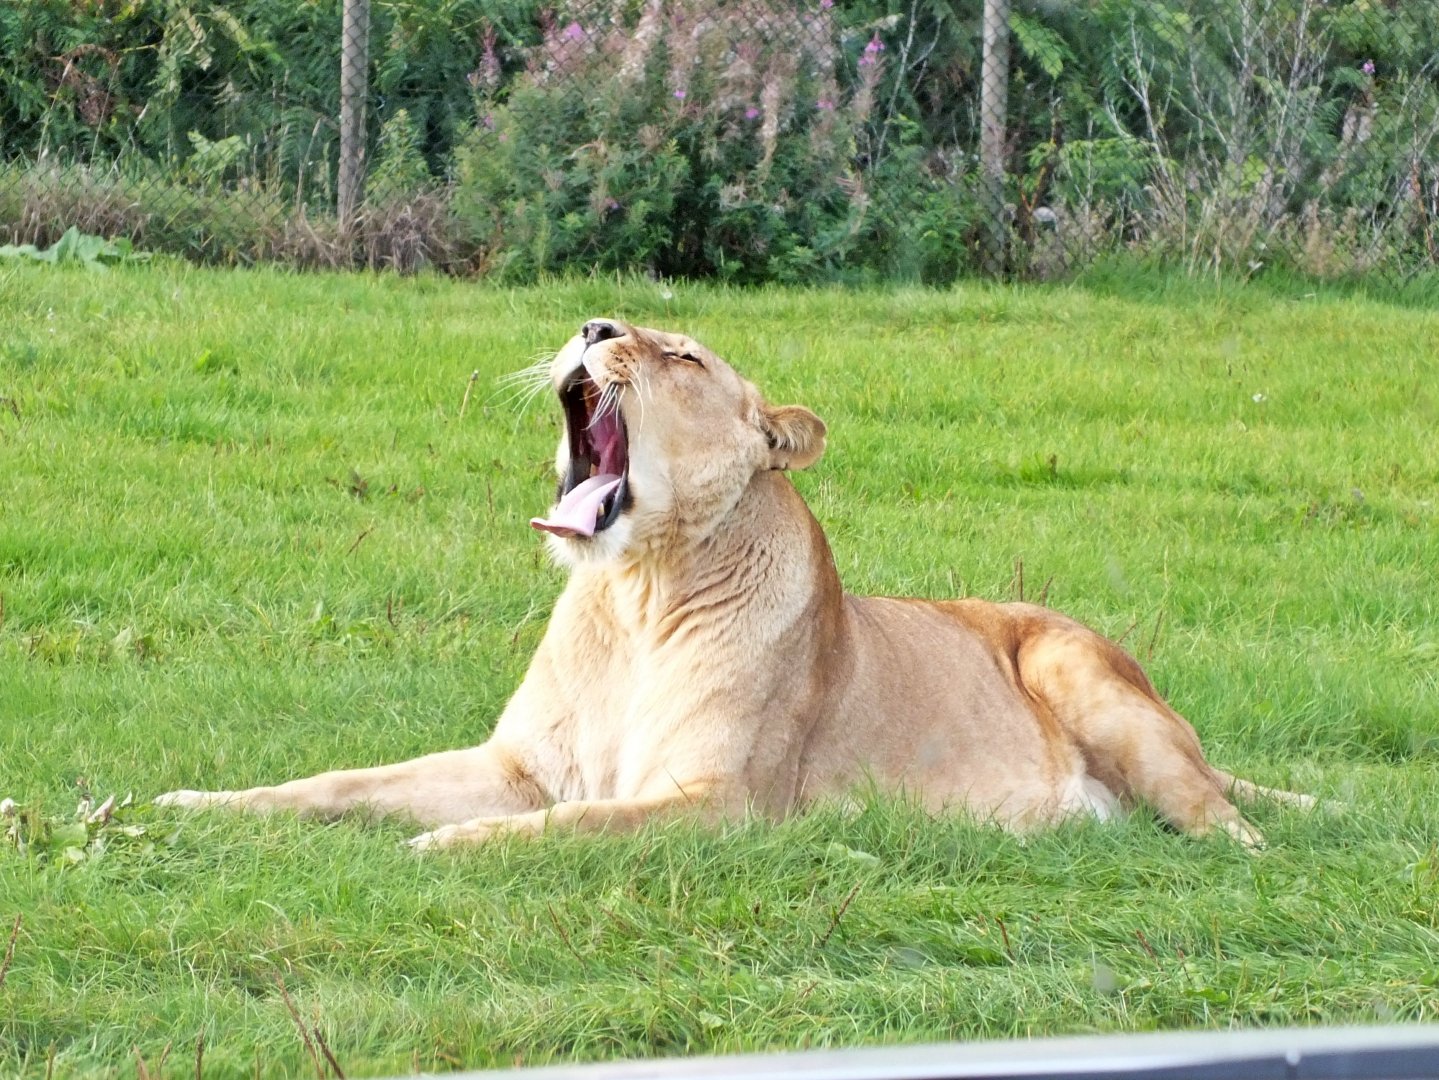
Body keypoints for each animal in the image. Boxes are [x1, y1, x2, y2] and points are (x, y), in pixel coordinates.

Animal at [157, 318, 1311, 849]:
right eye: (611, 328)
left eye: (680, 355)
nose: (592, 327)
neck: (631, 592)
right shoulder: (520, 767)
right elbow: (335, 784)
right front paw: (183, 803)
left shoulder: (717, 804)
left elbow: (567, 829)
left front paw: (443, 845)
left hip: (1089, 677)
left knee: (1226, 824)